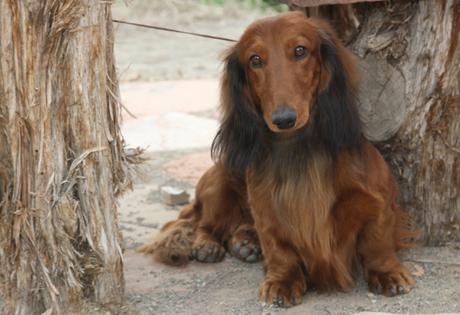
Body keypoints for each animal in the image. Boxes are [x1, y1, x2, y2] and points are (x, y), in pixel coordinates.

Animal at [138, 12, 416, 308]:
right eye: (255, 60)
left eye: (300, 50)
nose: (284, 119)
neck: (300, 148)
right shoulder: (267, 211)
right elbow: (279, 249)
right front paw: (282, 281)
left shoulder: (382, 198)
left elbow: (378, 241)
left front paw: (387, 272)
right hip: (220, 182)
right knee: (205, 224)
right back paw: (208, 245)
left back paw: (244, 243)